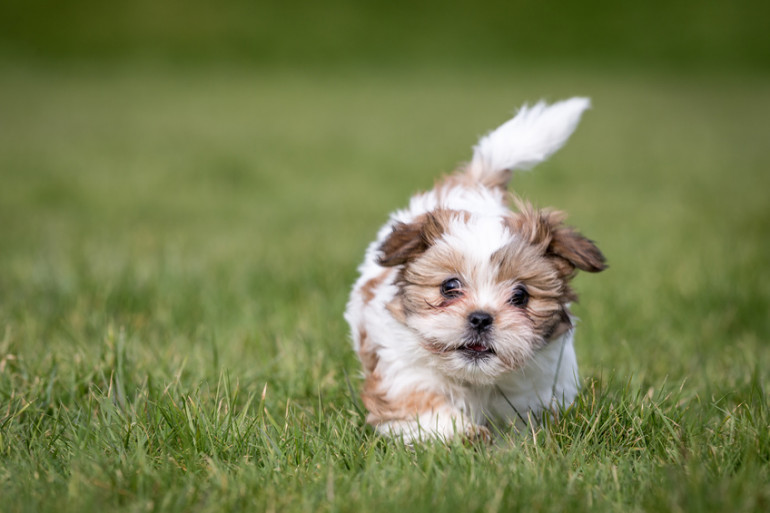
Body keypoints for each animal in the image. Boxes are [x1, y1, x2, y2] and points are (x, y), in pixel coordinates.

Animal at [344, 98, 604, 442]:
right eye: (449, 286)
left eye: (521, 296)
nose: (480, 318)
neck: (476, 380)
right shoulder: (402, 376)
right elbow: (425, 412)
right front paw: (467, 436)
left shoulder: (540, 389)